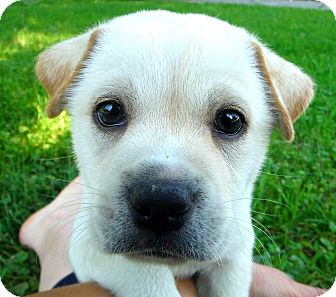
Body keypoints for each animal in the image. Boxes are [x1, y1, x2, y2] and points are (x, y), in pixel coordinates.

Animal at [35, 9, 314, 296]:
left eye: (230, 120)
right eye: (109, 111)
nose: (161, 203)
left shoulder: (234, 255)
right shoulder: (88, 244)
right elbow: (149, 278)